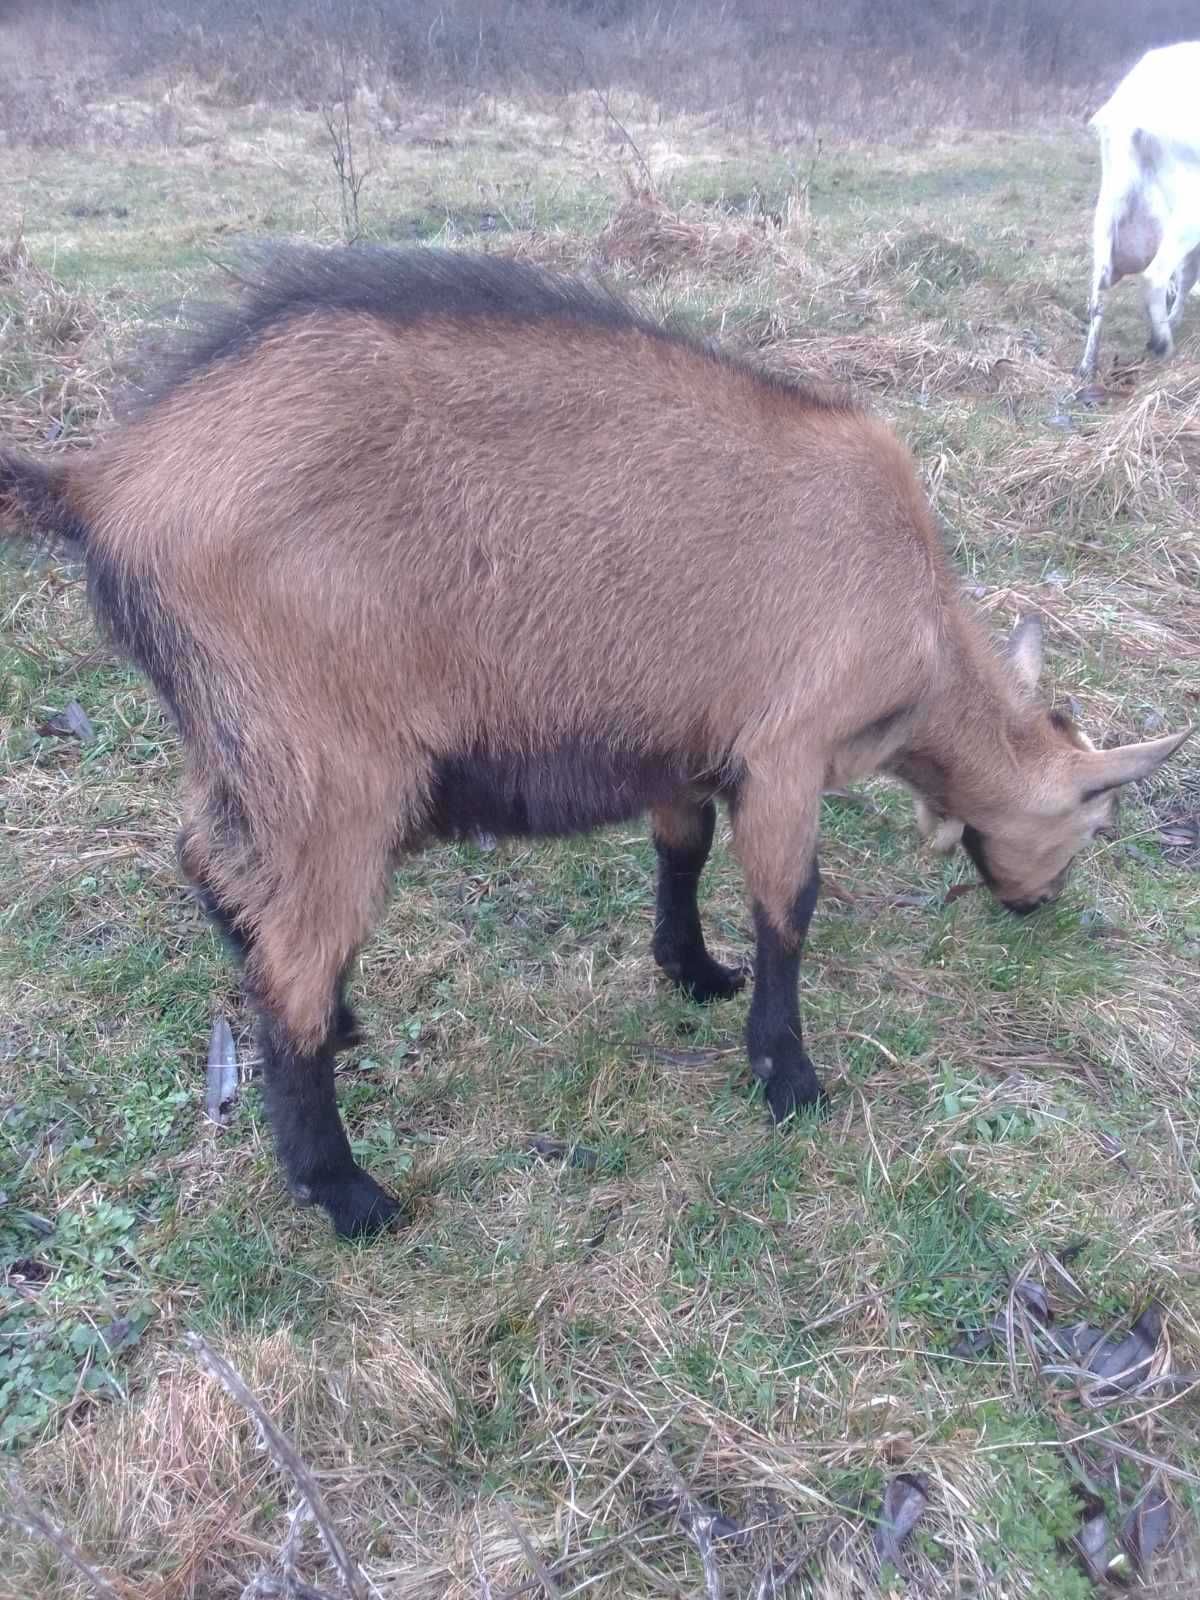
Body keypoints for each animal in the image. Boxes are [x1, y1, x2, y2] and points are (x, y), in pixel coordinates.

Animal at [0, 249, 1184, 1241]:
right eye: (1094, 816)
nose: (1039, 904)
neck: (922, 635)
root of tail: (107, 479)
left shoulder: (688, 740)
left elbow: (682, 849)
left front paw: (691, 969)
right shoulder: (789, 745)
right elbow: (788, 903)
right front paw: (788, 1076)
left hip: (240, 739)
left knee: (211, 864)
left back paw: (339, 1020)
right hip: (334, 762)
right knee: (289, 953)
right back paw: (347, 1189)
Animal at [1081, 42, 1200, 379]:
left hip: (1109, 203)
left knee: (1099, 287)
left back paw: (1087, 365)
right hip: (1188, 208)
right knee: (1157, 275)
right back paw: (1162, 343)